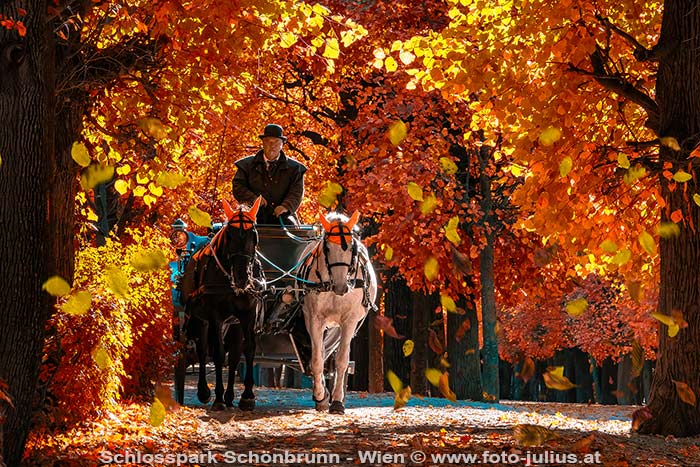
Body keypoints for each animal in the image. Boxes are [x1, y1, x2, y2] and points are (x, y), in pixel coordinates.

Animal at [182, 199, 264, 412]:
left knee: (234, 356)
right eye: (229, 235)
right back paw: (205, 392)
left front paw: (247, 396)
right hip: (200, 320)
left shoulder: (248, 314)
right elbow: (217, 353)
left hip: (233, 324)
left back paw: (229, 396)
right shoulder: (215, 316)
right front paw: (217, 397)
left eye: (254, 235)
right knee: (203, 351)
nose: (242, 277)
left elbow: (248, 349)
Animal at [300, 211, 378, 414]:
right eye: (327, 247)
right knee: (321, 352)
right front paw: (320, 395)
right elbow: (317, 359)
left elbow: (342, 360)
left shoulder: (349, 321)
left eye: (352, 247)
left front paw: (336, 402)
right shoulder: (314, 319)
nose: (342, 286)